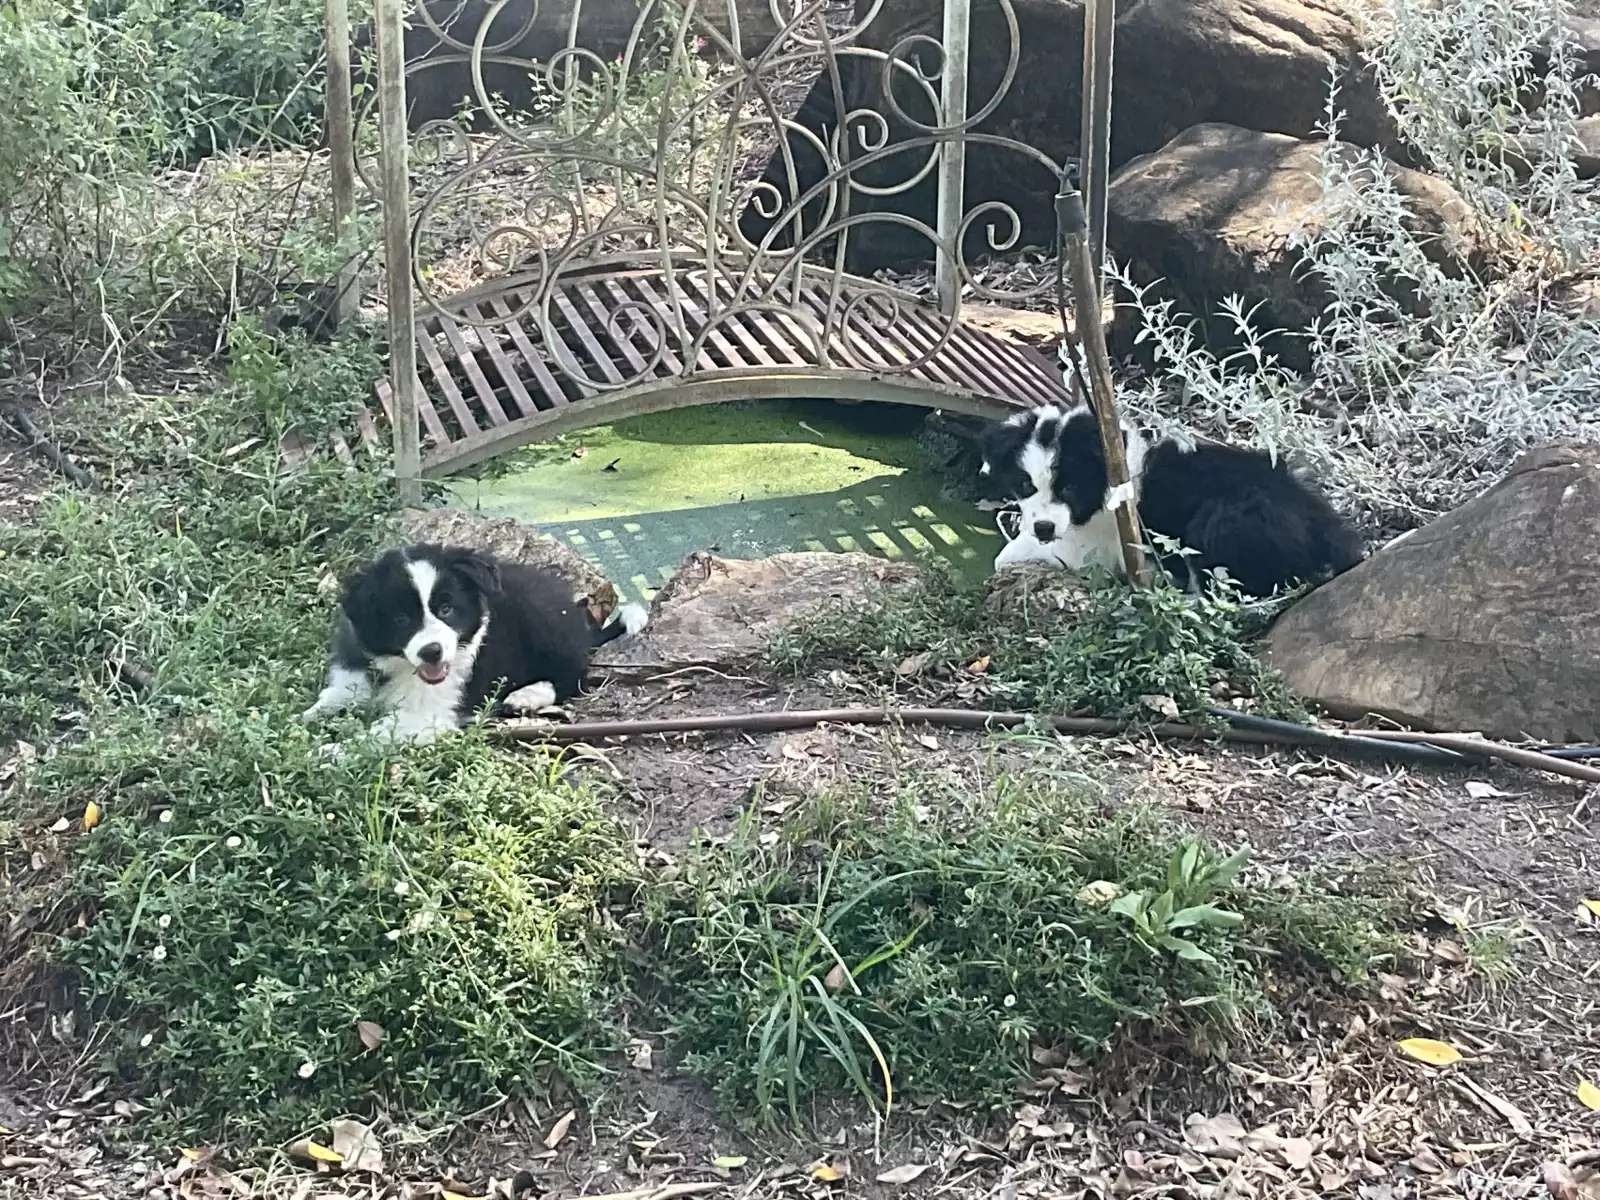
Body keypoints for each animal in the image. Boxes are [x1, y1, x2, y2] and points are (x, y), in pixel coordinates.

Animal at [301, 542, 647, 745]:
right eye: (400, 619)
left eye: (446, 609)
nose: (432, 652)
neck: (398, 668)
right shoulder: (352, 679)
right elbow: (326, 703)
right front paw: (299, 726)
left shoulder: (432, 714)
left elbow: (373, 735)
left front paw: (326, 752)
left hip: (544, 617)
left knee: (574, 676)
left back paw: (527, 695)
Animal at [977, 403, 1364, 596]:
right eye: (1025, 485)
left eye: (1070, 488)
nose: (1043, 528)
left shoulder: (1093, 545)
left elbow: (1007, 557)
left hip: (1225, 519)